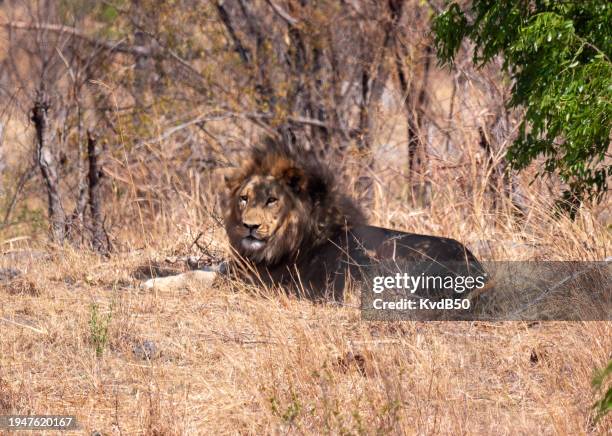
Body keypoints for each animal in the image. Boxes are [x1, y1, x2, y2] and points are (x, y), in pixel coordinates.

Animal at [142, 137, 482, 304]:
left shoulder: (256, 282)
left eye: (272, 200)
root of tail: (477, 268)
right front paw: (153, 280)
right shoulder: (240, 267)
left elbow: (200, 278)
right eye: (244, 198)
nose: (250, 227)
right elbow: (202, 270)